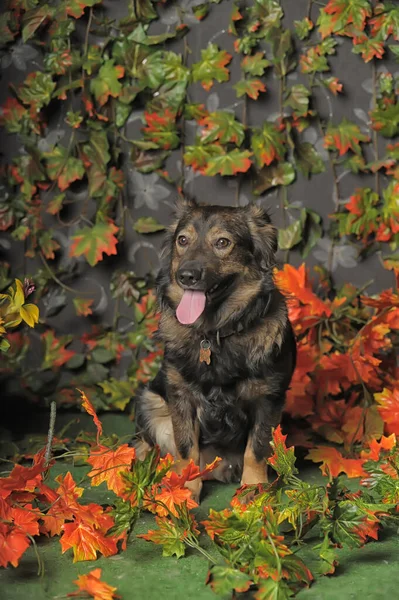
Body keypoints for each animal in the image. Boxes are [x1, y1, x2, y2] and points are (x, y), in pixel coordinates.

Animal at [134, 198, 296, 502]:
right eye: (182, 240)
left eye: (222, 242)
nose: (186, 275)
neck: (215, 333)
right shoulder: (180, 397)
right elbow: (186, 448)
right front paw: (185, 489)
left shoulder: (268, 399)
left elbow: (256, 450)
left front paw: (253, 490)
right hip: (150, 401)